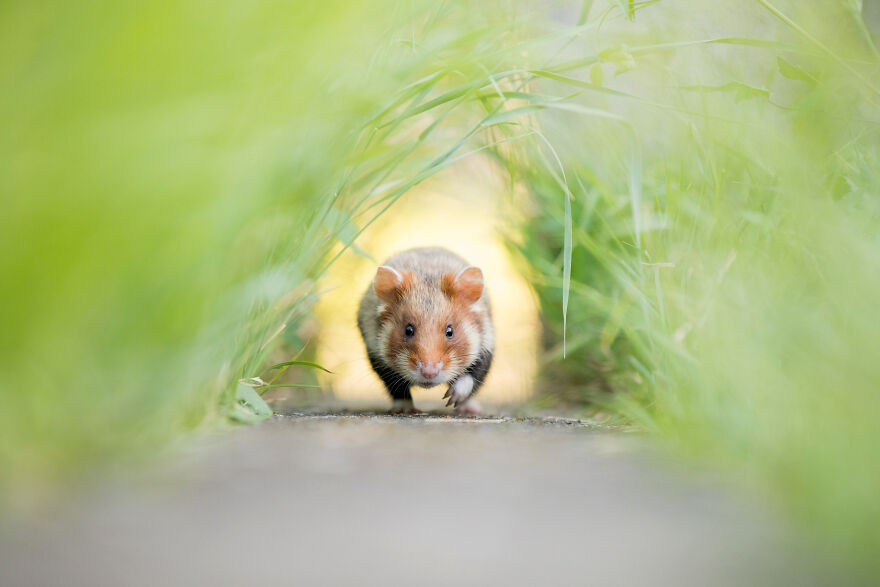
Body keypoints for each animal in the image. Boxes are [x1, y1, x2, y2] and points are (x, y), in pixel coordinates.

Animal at [357, 247, 494, 414]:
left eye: (450, 331)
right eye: (408, 330)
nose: (429, 373)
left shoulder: (486, 347)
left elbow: (470, 378)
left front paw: (451, 398)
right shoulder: (377, 356)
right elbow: (397, 389)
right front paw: (404, 409)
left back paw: (469, 409)